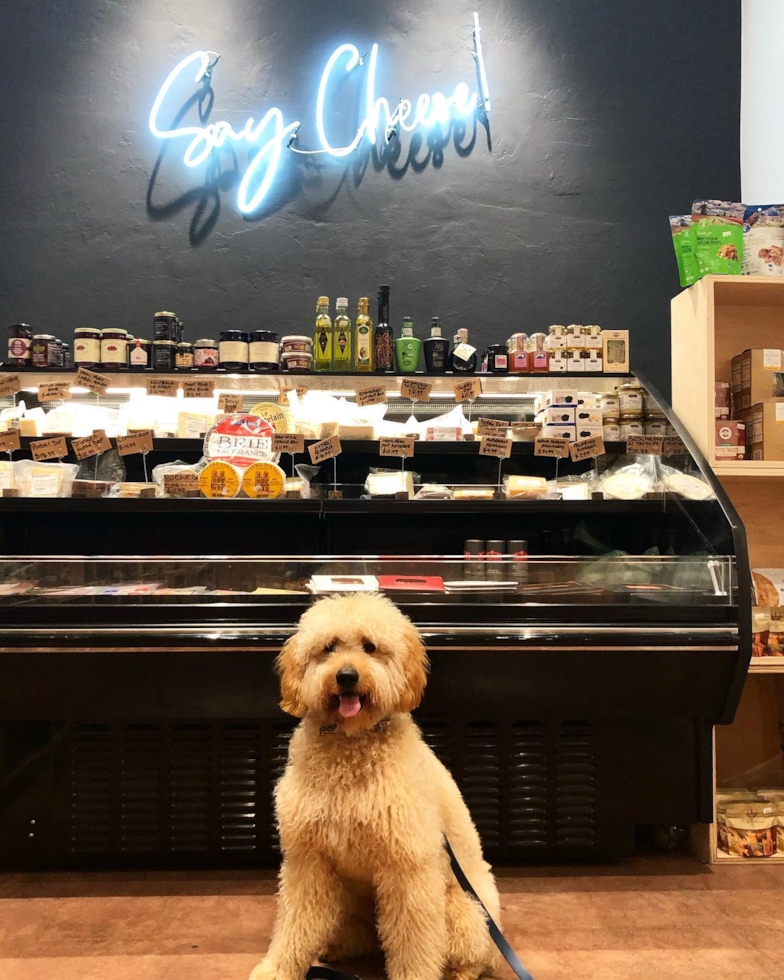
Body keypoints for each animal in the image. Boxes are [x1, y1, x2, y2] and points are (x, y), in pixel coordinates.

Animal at [250, 588, 502, 980]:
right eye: (329, 647)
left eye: (370, 646)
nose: (347, 676)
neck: (352, 745)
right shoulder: (308, 860)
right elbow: (294, 923)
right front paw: (277, 969)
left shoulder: (407, 866)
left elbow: (414, 941)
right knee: (358, 937)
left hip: (465, 913)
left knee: (470, 957)